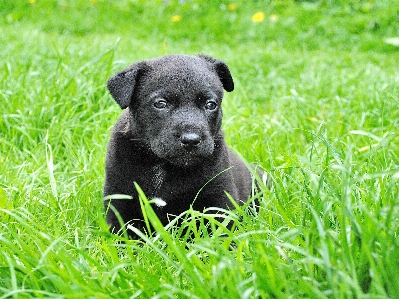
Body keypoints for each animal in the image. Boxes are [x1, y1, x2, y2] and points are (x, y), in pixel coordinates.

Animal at [103, 52, 268, 238]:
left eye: (210, 104)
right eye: (160, 103)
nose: (191, 139)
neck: (162, 165)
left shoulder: (218, 197)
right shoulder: (120, 198)